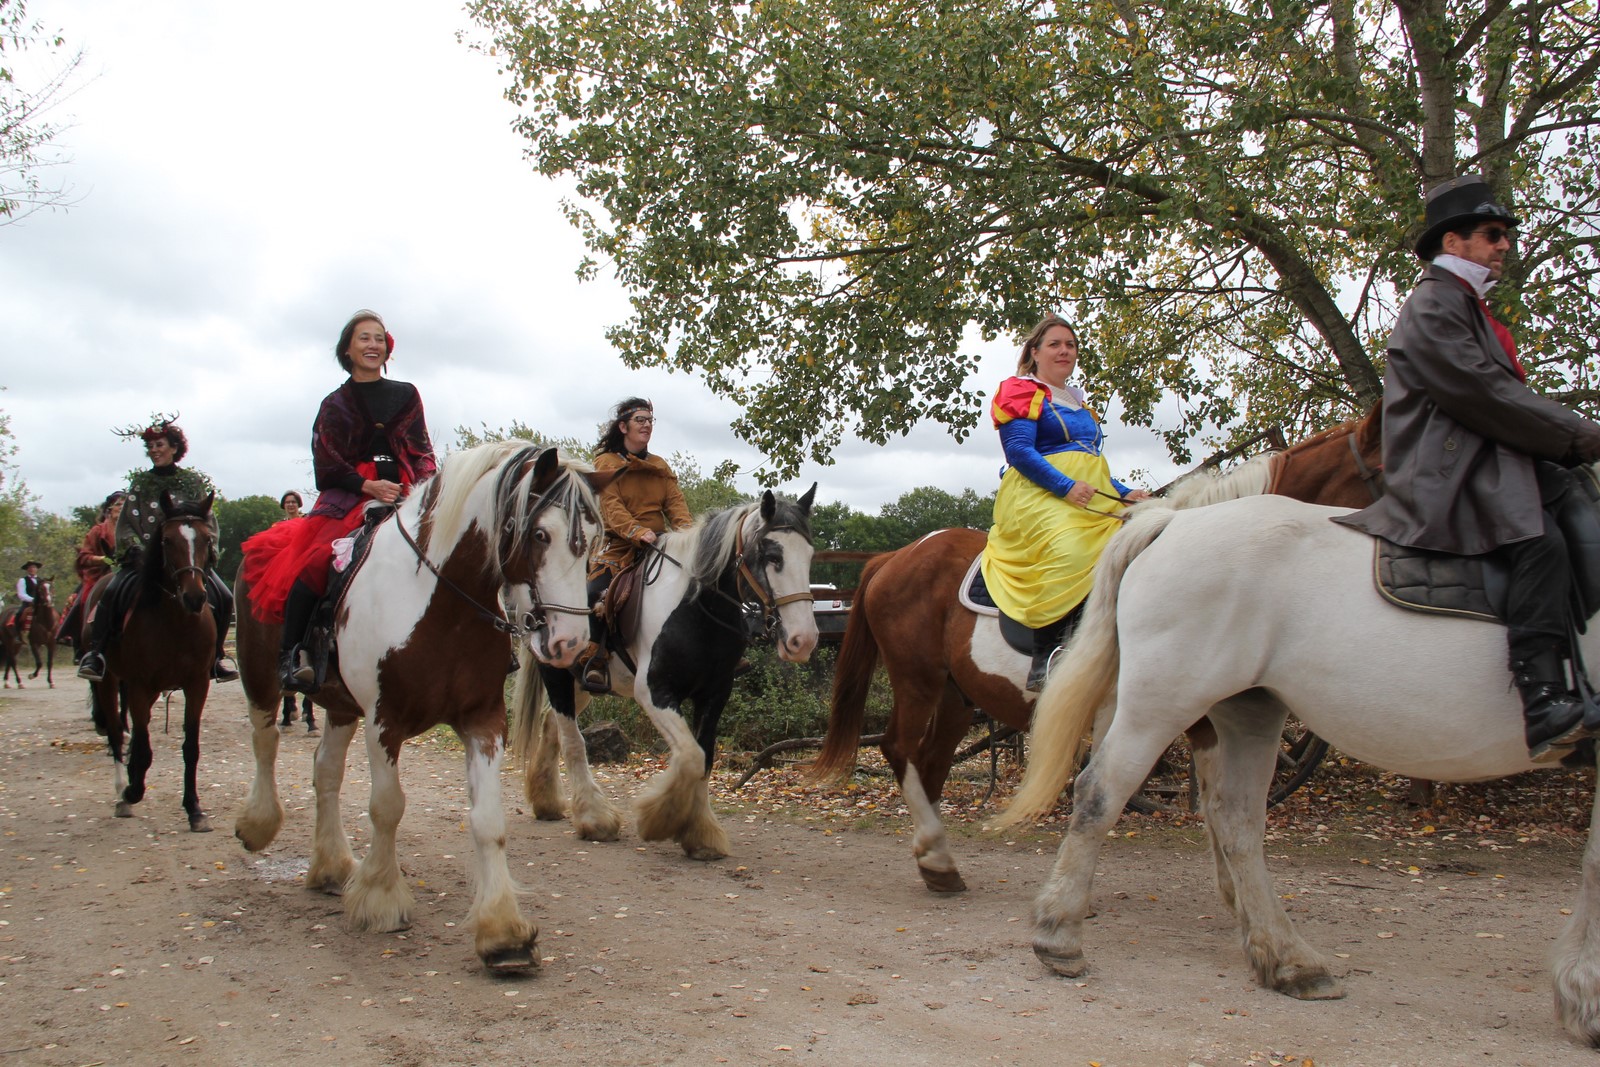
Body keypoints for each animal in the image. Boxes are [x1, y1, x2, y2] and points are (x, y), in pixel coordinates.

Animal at [85, 495, 218, 831]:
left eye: (207, 539)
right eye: (167, 540)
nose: (195, 597)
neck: (177, 622)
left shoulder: (197, 684)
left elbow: (191, 748)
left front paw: (195, 809)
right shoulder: (138, 684)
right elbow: (143, 748)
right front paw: (132, 792)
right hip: (110, 681)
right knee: (117, 730)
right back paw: (123, 790)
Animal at [232, 443, 603, 973]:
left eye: (591, 541)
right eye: (539, 534)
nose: (570, 644)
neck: (441, 603)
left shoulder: (483, 720)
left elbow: (488, 820)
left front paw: (503, 932)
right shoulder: (383, 721)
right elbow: (387, 807)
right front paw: (381, 898)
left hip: (340, 706)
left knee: (326, 771)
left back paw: (331, 866)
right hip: (260, 679)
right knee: (265, 743)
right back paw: (259, 825)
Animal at [513, 485, 819, 861]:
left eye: (809, 555)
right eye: (773, 556)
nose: (803, 640)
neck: (696, 608)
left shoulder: (714, 695)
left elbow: (705, 758)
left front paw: (701, 834)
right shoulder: (655, 692)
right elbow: (689, 757)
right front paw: (661, 819)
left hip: (581, 683)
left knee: (550, 724)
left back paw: (547, 803)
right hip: (555, 671)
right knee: (571, 739)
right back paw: (593, 819)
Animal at [810, 408, 1383, 892]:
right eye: (1382, 471)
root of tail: (895, 556)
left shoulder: (1203, 717)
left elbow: (1219, 803)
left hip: (956, 695)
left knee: (930, 763)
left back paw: (938, 865)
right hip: (918, 680)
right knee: (899, 749)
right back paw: (936, 855)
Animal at [994, 491, 1600, 1043]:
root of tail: (1175, 522)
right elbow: (1595, 864)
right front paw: (1585, 995)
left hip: (1246, 709)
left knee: (1234, 817)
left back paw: (1288, 960)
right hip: (1163, 701)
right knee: (1101, 790)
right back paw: (1059, 935)